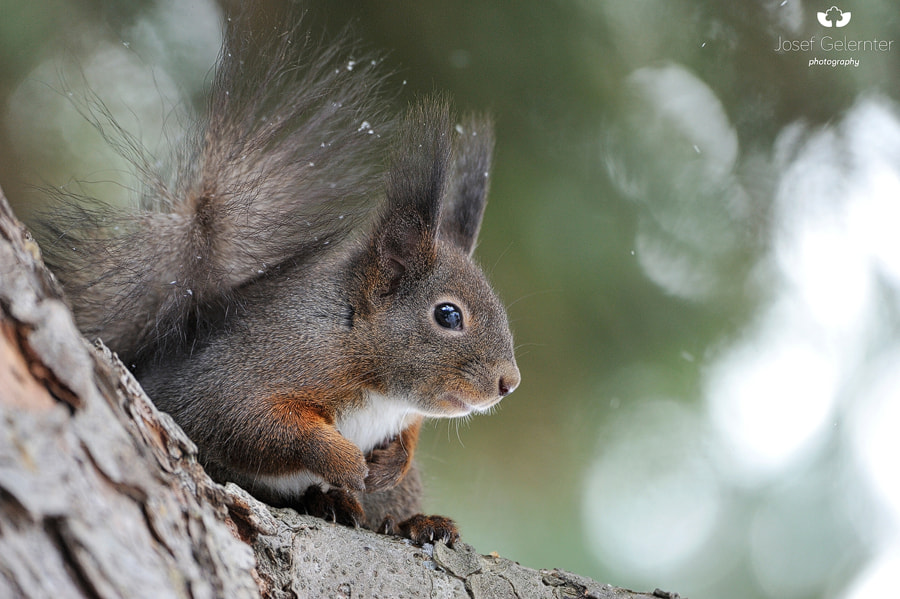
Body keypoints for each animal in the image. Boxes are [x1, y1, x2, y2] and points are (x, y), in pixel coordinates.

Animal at [37, 10, 519, 546]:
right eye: (448, 315)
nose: (509, 383)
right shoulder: (249, 370)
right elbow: (252, 423)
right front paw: (342, 460)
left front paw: (393, 459)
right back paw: (330, 498)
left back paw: (419, 522)